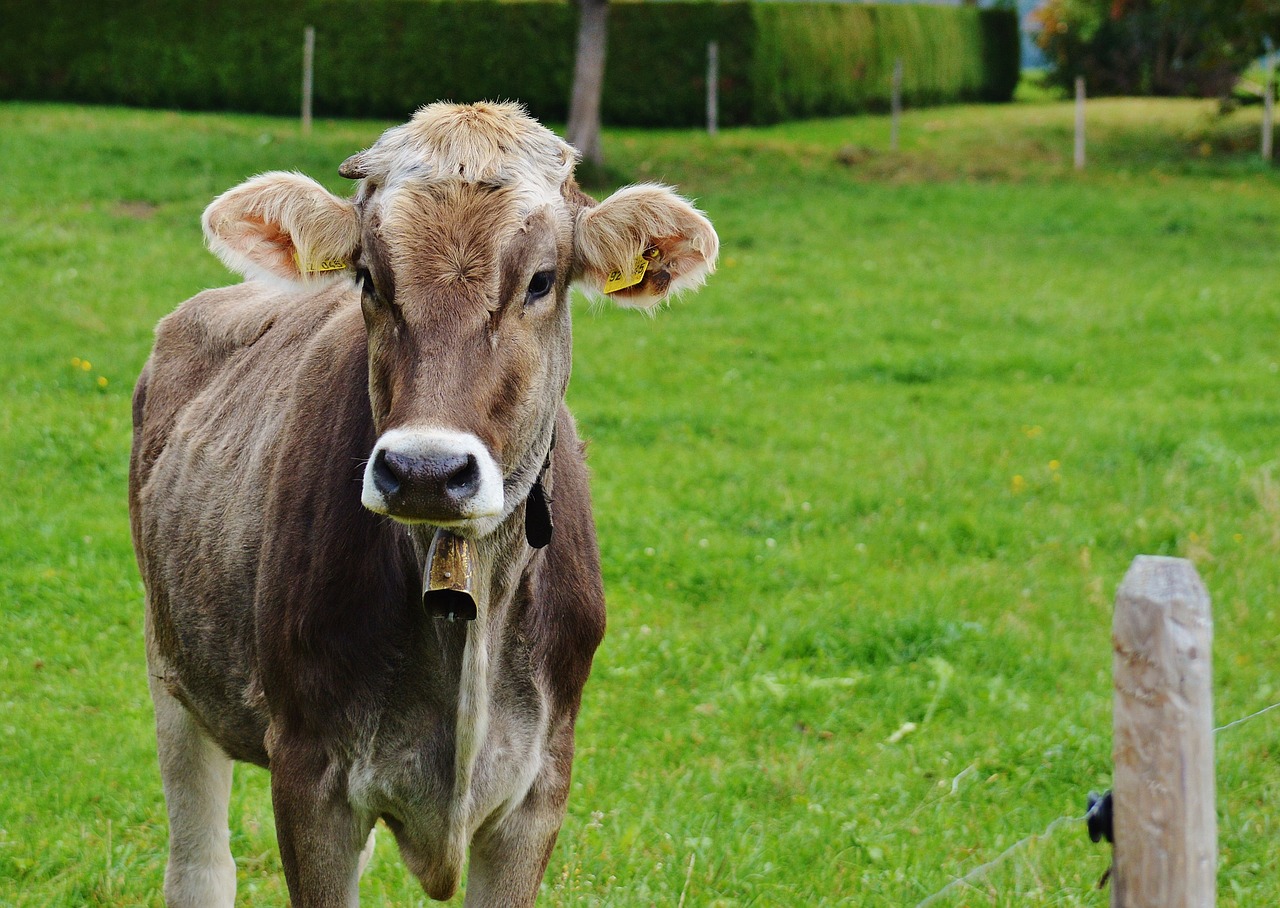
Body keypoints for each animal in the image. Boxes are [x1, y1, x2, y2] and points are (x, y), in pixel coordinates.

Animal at [132, 102, 721, 901]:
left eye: (542, 281)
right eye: (368, 278)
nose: (425, 470)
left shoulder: (540, 785)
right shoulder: (307, 772)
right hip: (172, 670)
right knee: (199, 866)